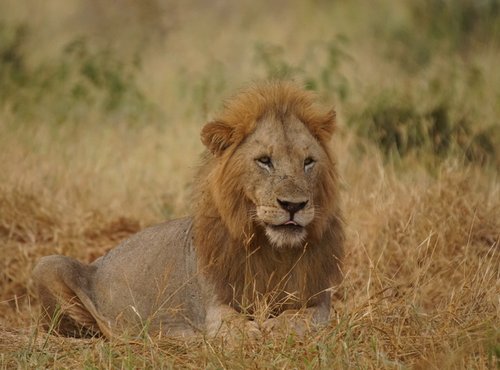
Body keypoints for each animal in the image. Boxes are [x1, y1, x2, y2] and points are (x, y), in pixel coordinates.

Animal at [31, 81, 344, 338]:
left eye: (308, 162)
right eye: (264, 160)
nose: (294, 205)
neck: (274, 251)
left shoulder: (320, 299)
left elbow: (303, 317)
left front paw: (277, 326)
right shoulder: (213, 306)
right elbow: (232, 325)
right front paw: (254, 331)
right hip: (48, 264)